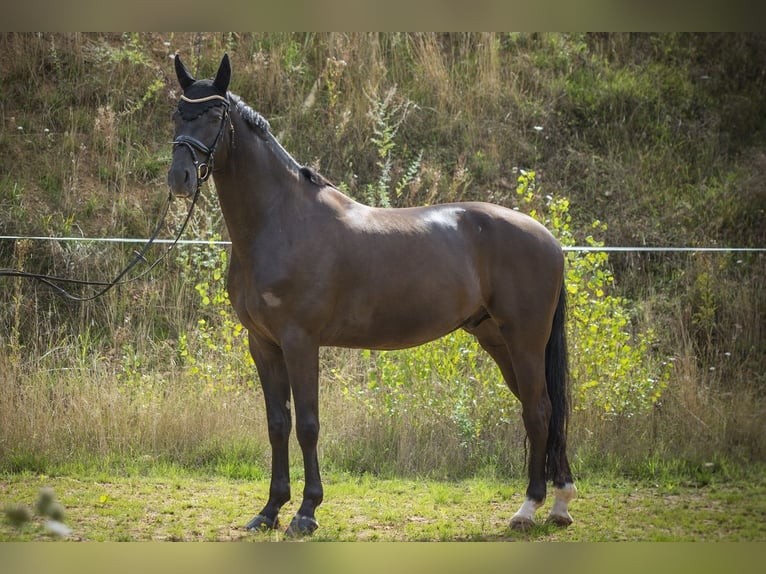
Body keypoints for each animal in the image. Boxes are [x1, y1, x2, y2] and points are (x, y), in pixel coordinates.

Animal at [167, 53, 576, 536]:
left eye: (214, 115)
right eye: (177, 113)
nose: (179, 177)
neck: (280, 220)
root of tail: (548, 239)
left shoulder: (300, 342)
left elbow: (307, 424)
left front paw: (306, 512)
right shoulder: (263, 345)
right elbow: (277, 423)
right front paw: (270, 510)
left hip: (525, 340)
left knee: (539, 411)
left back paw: (530, 509)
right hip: (499, 341)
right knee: (546, 411)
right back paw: (559, 505)